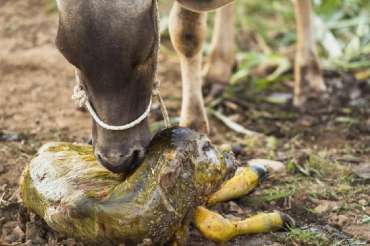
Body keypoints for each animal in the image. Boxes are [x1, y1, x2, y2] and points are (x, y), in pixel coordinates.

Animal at [55, 0, 324, 173]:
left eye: (146, 53)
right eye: (69, 56)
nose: (116, 160)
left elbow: (187, 32)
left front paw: (193, 122)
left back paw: (309, 79)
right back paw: (218, 67)